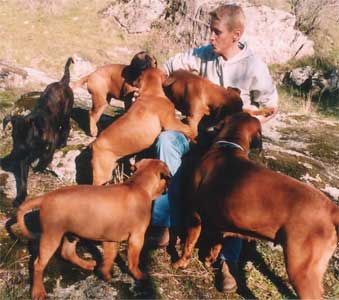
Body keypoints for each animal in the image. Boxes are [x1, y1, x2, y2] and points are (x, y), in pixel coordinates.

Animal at [2, 56, 74, 206]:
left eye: (27, 139)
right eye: (13, 137)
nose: (16, 154)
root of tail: (62, 82)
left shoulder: (51, 141)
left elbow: (47, 155)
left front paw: (40, 166)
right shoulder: (24, 159)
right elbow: (23, 181)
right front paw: (20, 197)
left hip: (65, 114)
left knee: (66, 127)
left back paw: (63, 143)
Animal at [16, 158, 171, 298]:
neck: (137, 185)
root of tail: (45, 197)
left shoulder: (111, 240)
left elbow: (109, 258)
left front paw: (105, 275)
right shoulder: (137, 238)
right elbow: (134, 261)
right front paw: (139, 275)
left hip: (71, 233)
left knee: (67, 253)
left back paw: (86, 264)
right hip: (51, 236)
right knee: (38, 265)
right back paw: (38, 291)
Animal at [174, 112, 339, 300]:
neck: (228, 147)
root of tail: (331, 208)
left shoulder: (194, 216)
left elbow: (188, 245)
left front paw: (180, 263)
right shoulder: (222, 224)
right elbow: (216, 245)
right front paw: (209, 260)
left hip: (301, 270)